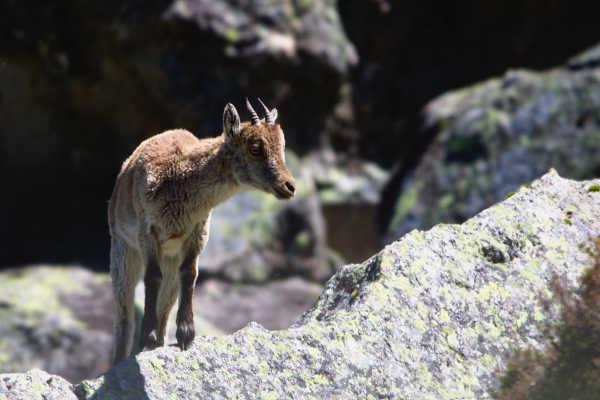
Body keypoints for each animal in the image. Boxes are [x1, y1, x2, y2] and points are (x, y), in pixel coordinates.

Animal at [109, 98, 296, 364]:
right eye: (255, 149)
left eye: (282, 147)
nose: (289, 186)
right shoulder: (148, 232)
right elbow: (152, 277)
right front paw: (148, 332)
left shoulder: (197, 233)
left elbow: (189, 273)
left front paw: (186, 333)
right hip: (123, 249)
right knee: (123, 311)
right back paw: (123, 357)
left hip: (170, 256)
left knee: (166, 300)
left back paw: (157, 343)